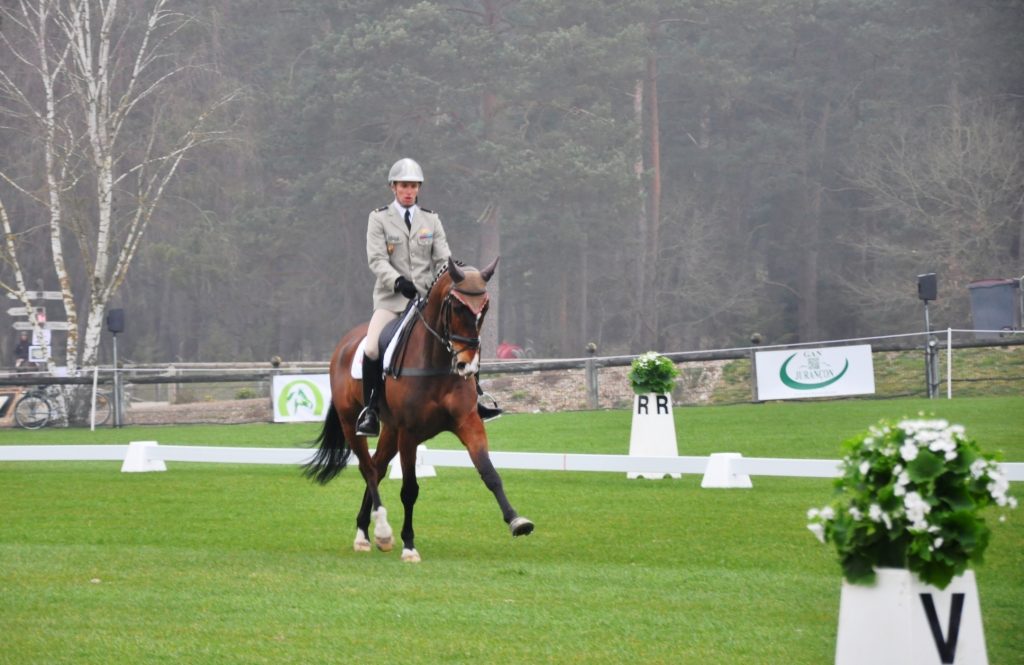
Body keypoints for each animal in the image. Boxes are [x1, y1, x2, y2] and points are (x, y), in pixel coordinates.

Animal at [303, 254, 536, 561]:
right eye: (457, 306)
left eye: (484, 307)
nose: (467, 365)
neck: (437, 361)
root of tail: (344, 345)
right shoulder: (410, 433)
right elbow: (409, 489)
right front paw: (409, 545)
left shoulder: (468, 422)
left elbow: (490, 473)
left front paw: (517, 521)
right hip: (352, 423)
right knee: (367, 468)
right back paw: (380, 532)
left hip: (391, 430)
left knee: (377, 467)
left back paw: (365, 532)